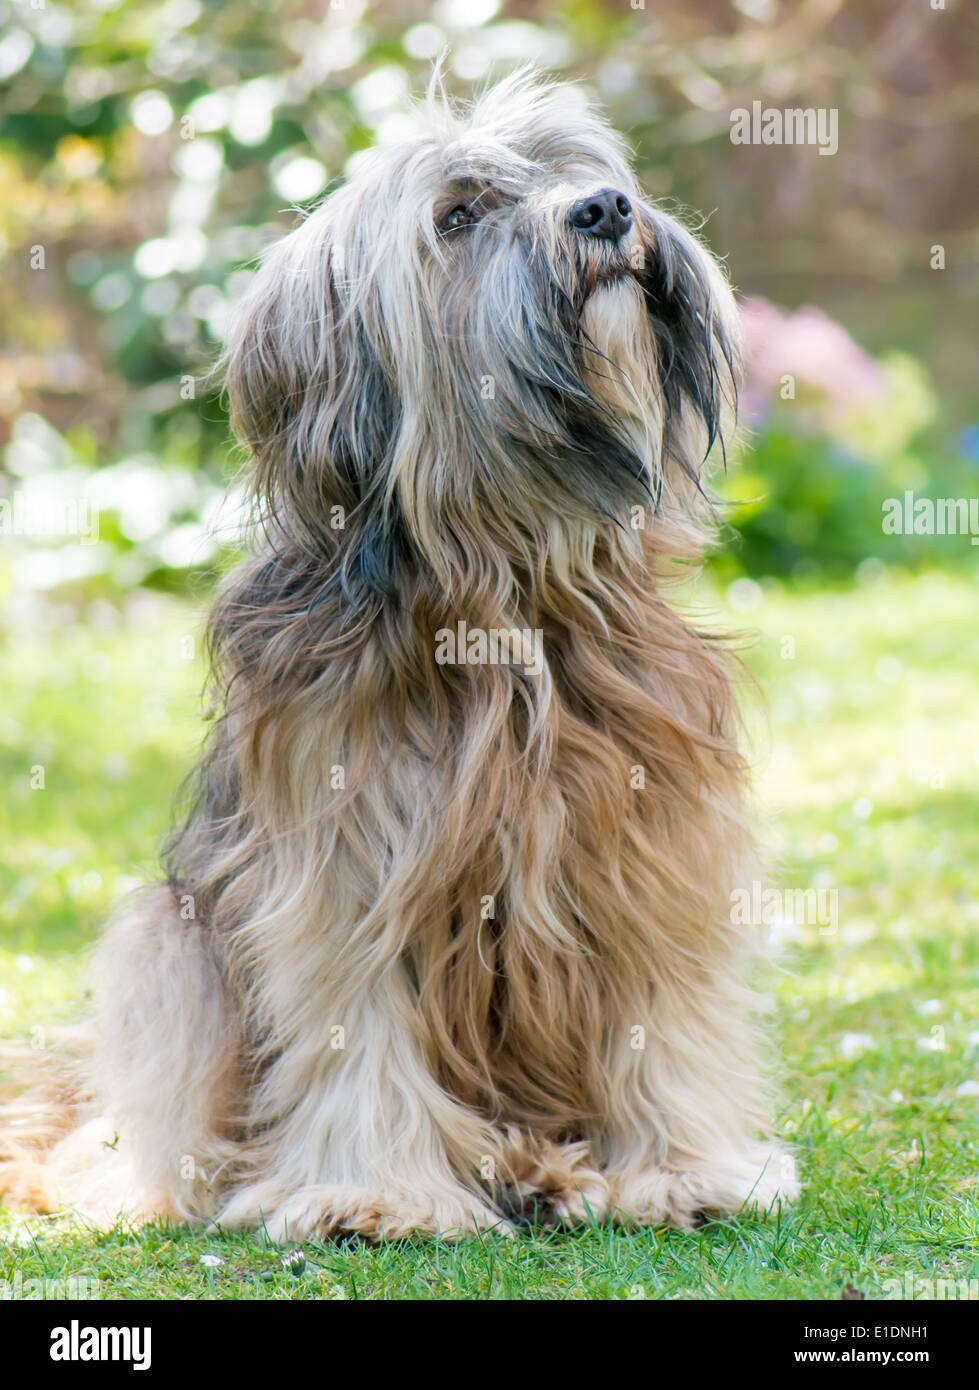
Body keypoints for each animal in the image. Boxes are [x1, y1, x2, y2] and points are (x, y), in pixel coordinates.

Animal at [1, 70, 795, 1245]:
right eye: (456, 218)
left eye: (571, 168)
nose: (605, 209)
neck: (506, 587)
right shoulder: (341, 862)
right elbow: (353, 1013)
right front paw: (372, 1195)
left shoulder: (651, 836)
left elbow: (660, 1003)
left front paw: (683, 1169)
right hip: (166, 939)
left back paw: (543, 1165)